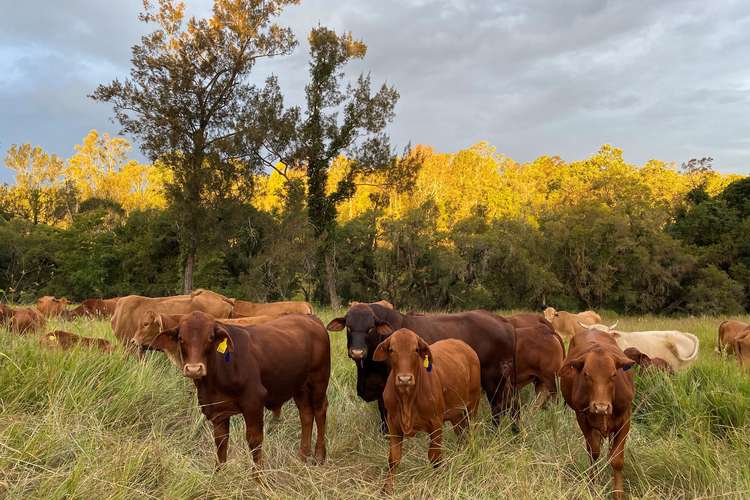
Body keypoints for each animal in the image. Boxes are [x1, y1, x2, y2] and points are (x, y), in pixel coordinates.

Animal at [326, 302, 520, 432]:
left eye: (370, 328)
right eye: (349, 327)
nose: (357, 352)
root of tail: (503, 321)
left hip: (494, 378)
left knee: (499, 407)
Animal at [374, 328, 482, 496]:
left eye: (416, 349)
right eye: (391, 349)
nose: (404, 379)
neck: (407, 399)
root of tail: (465, 346)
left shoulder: (436, 423)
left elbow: (434, 456)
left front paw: (440, 480)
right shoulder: (392, 423)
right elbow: (393, 458)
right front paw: (387, 489)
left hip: (472, 405)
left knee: (471, 431)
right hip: (456, 413)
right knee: (461, 434)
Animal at [560, 328, 636, 500]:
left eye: (614, 374)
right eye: (586, 374)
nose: (601, 407)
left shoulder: (625, 420)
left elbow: (617, 459)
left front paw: (618, 493)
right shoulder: (582, 418)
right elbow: (593, 453)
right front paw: (592, 485)